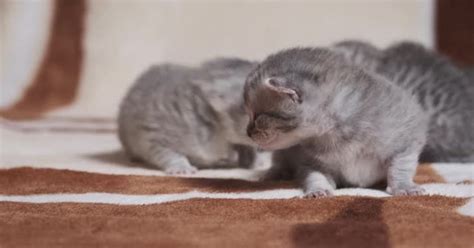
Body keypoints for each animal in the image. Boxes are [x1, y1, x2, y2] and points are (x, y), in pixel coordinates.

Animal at [243, 47, 428, 197]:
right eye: (249, 114)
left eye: (258, 117)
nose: (248, 132)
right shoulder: (309, 160)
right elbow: (314, 175)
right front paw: (318, 190)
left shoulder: (408, 136)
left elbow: (401, 165)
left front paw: (404, 186)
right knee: (279, 160)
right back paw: (275, 173)